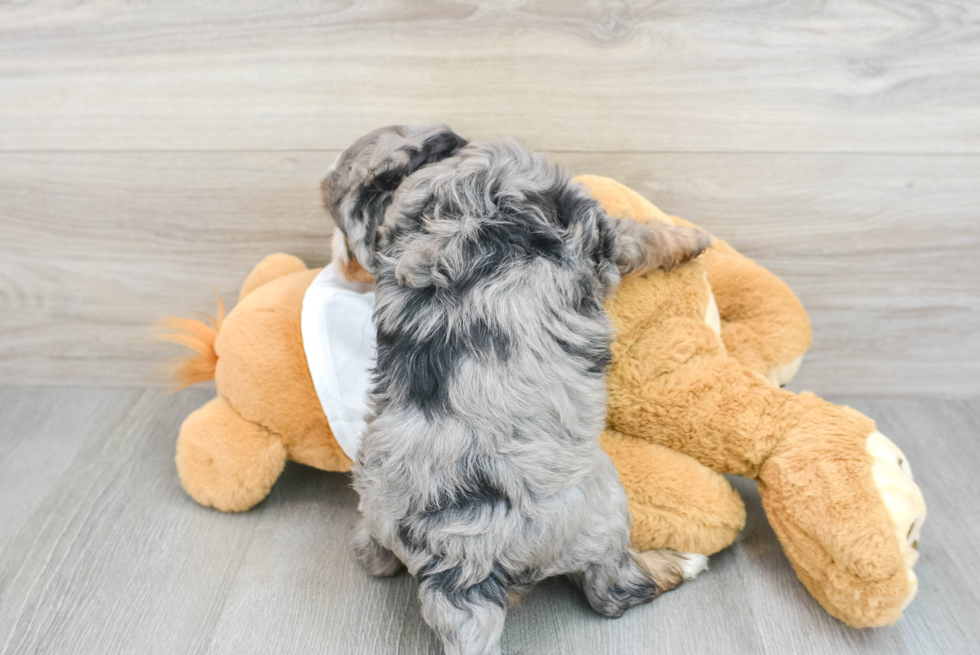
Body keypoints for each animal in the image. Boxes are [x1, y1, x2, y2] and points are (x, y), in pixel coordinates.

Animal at [322, 124, 712, 655]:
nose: (343, 267)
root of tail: (456, 573)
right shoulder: (595, 228)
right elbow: (642, 235)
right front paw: (691, 237)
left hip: (377, 510)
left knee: (373, 556)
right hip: (601, 507)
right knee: (610, 591)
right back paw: (681, 563)